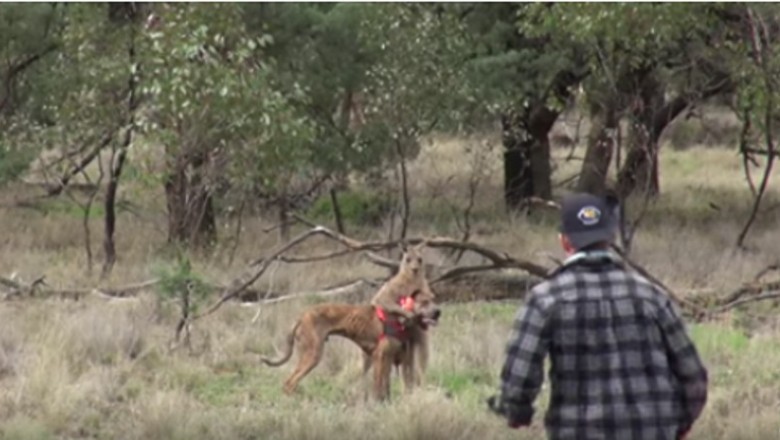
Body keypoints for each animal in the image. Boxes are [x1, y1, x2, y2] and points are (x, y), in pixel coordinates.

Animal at [260, 288, 438, 402]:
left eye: (433, 299)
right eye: (424, 302)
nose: (438, 312)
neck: (401, 318)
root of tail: (302, 316)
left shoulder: (393, 360)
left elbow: (387, 389)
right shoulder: (381, 358)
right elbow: (378, 388)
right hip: (312, 355)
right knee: (289, 383)